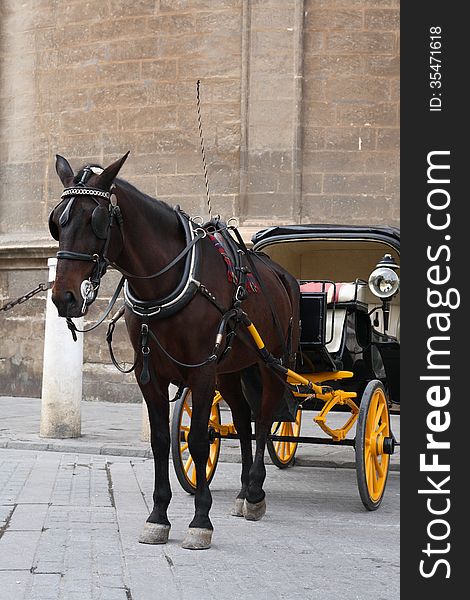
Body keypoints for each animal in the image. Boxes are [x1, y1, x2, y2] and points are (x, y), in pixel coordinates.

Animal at [49, 154, 300, 548]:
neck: (165, 284)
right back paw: (243, 491)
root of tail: (281, 274)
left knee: (262, 422)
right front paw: (158, 516)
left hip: (272, 363)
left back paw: (256, 494)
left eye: (96, 220)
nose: (64, 298)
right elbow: (160, 441)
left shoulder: (201, 371)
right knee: (243, 419)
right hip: (229, 371)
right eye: (57, 221)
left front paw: (200, 520)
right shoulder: (150, 376)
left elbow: (197, 440)